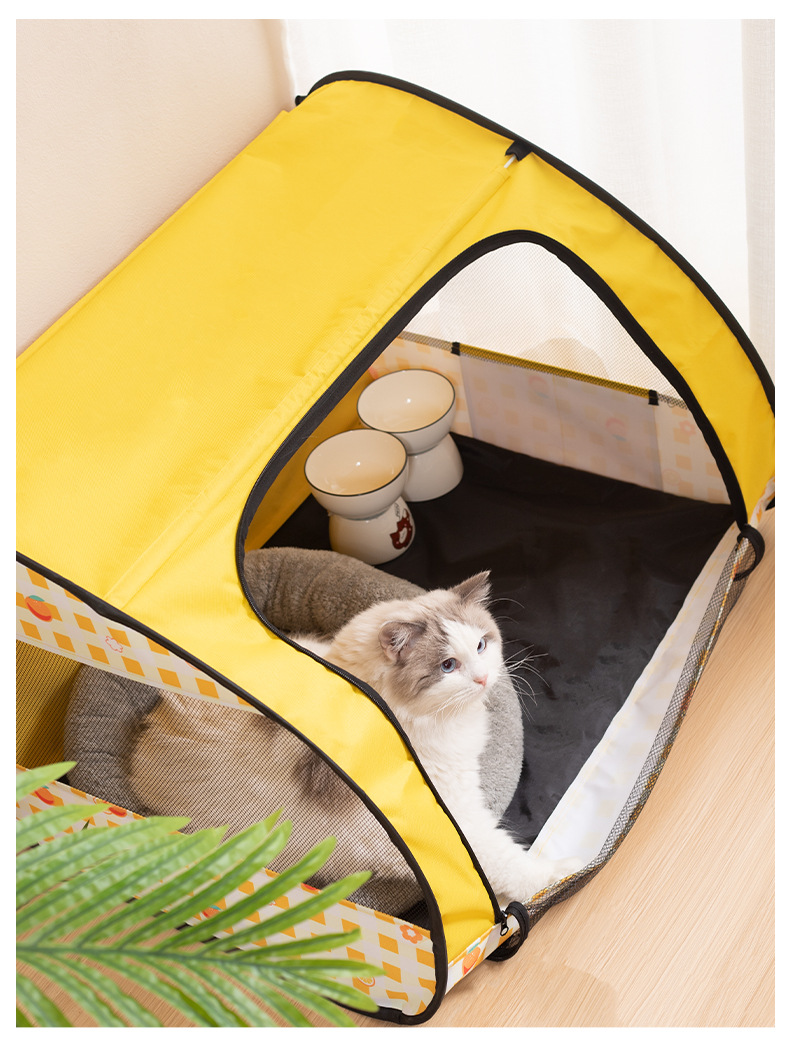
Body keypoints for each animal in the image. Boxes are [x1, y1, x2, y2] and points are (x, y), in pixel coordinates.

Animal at [127, 571, 582, 912]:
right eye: (448, 666)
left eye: (482, 645)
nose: (486, 679)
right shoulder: (449, 827)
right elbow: (507, 863)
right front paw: (563, 871)